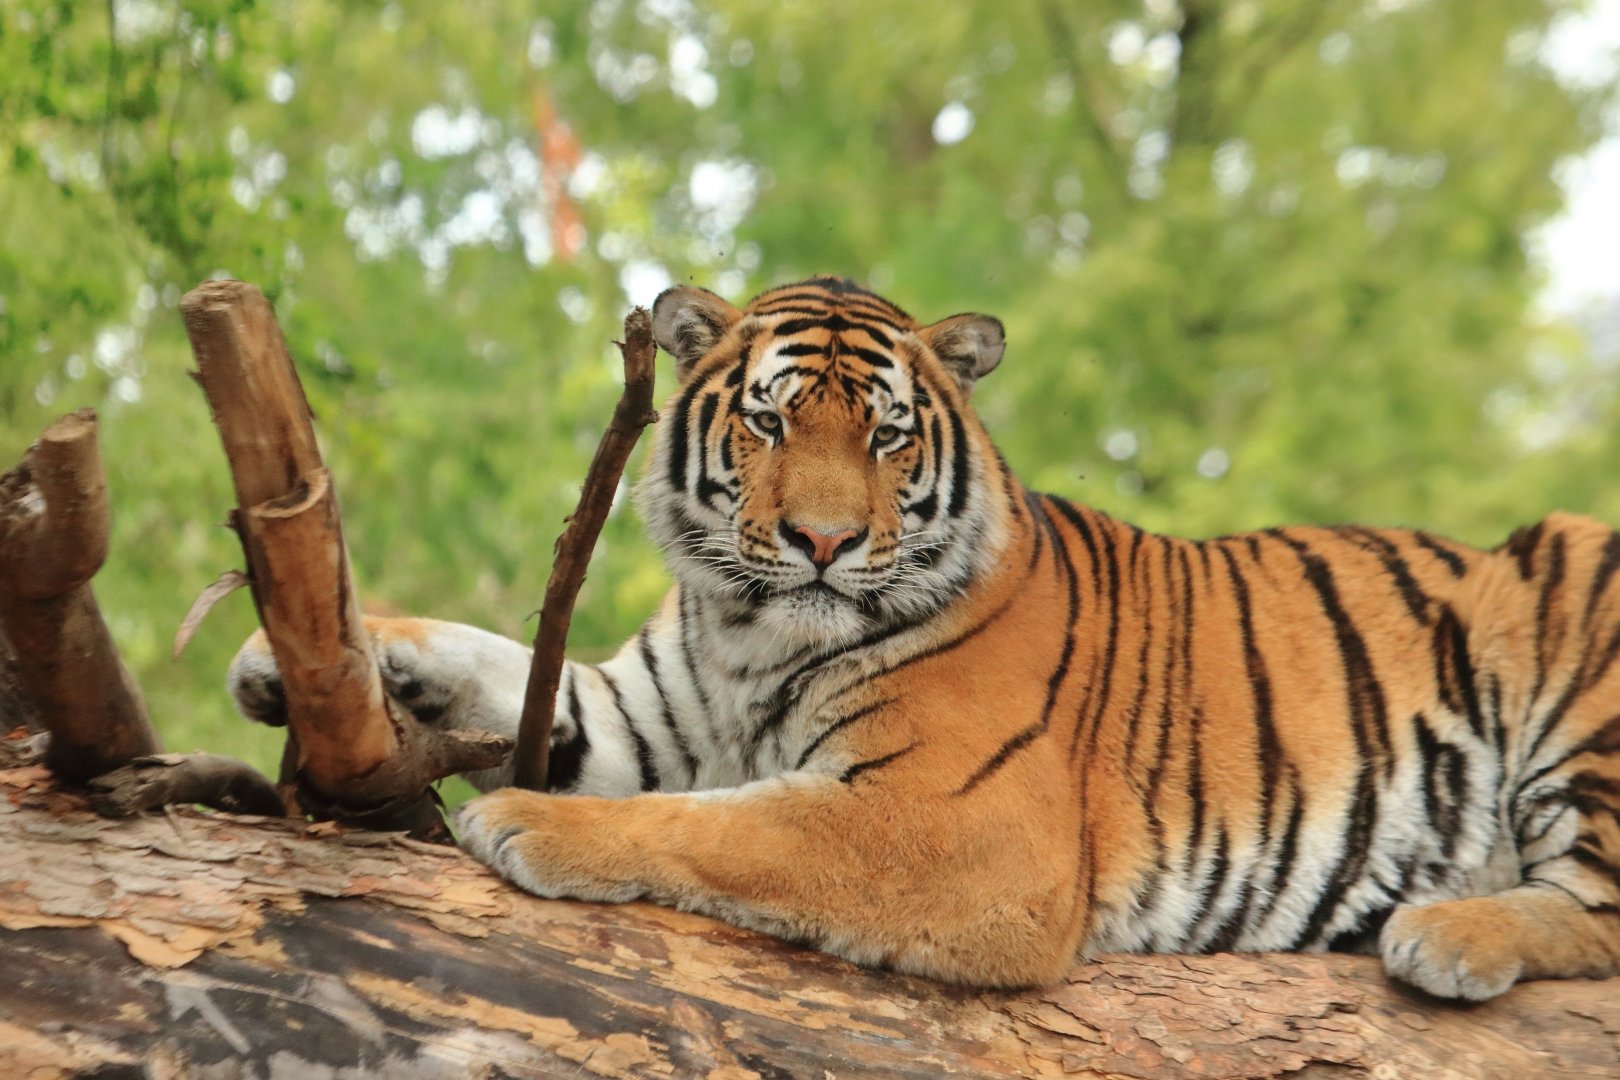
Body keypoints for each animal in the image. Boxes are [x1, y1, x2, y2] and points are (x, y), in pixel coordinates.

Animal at [228, 276, 1620, 999]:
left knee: (1600, 912)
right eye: (771, 423)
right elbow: (512, 670)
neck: (747, 632)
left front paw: (525, 824)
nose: (824, 540)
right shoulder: (647, 714)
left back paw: (1450, 931)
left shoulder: (959, 819)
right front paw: (300, 654)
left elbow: (738, 828)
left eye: (888, 435)